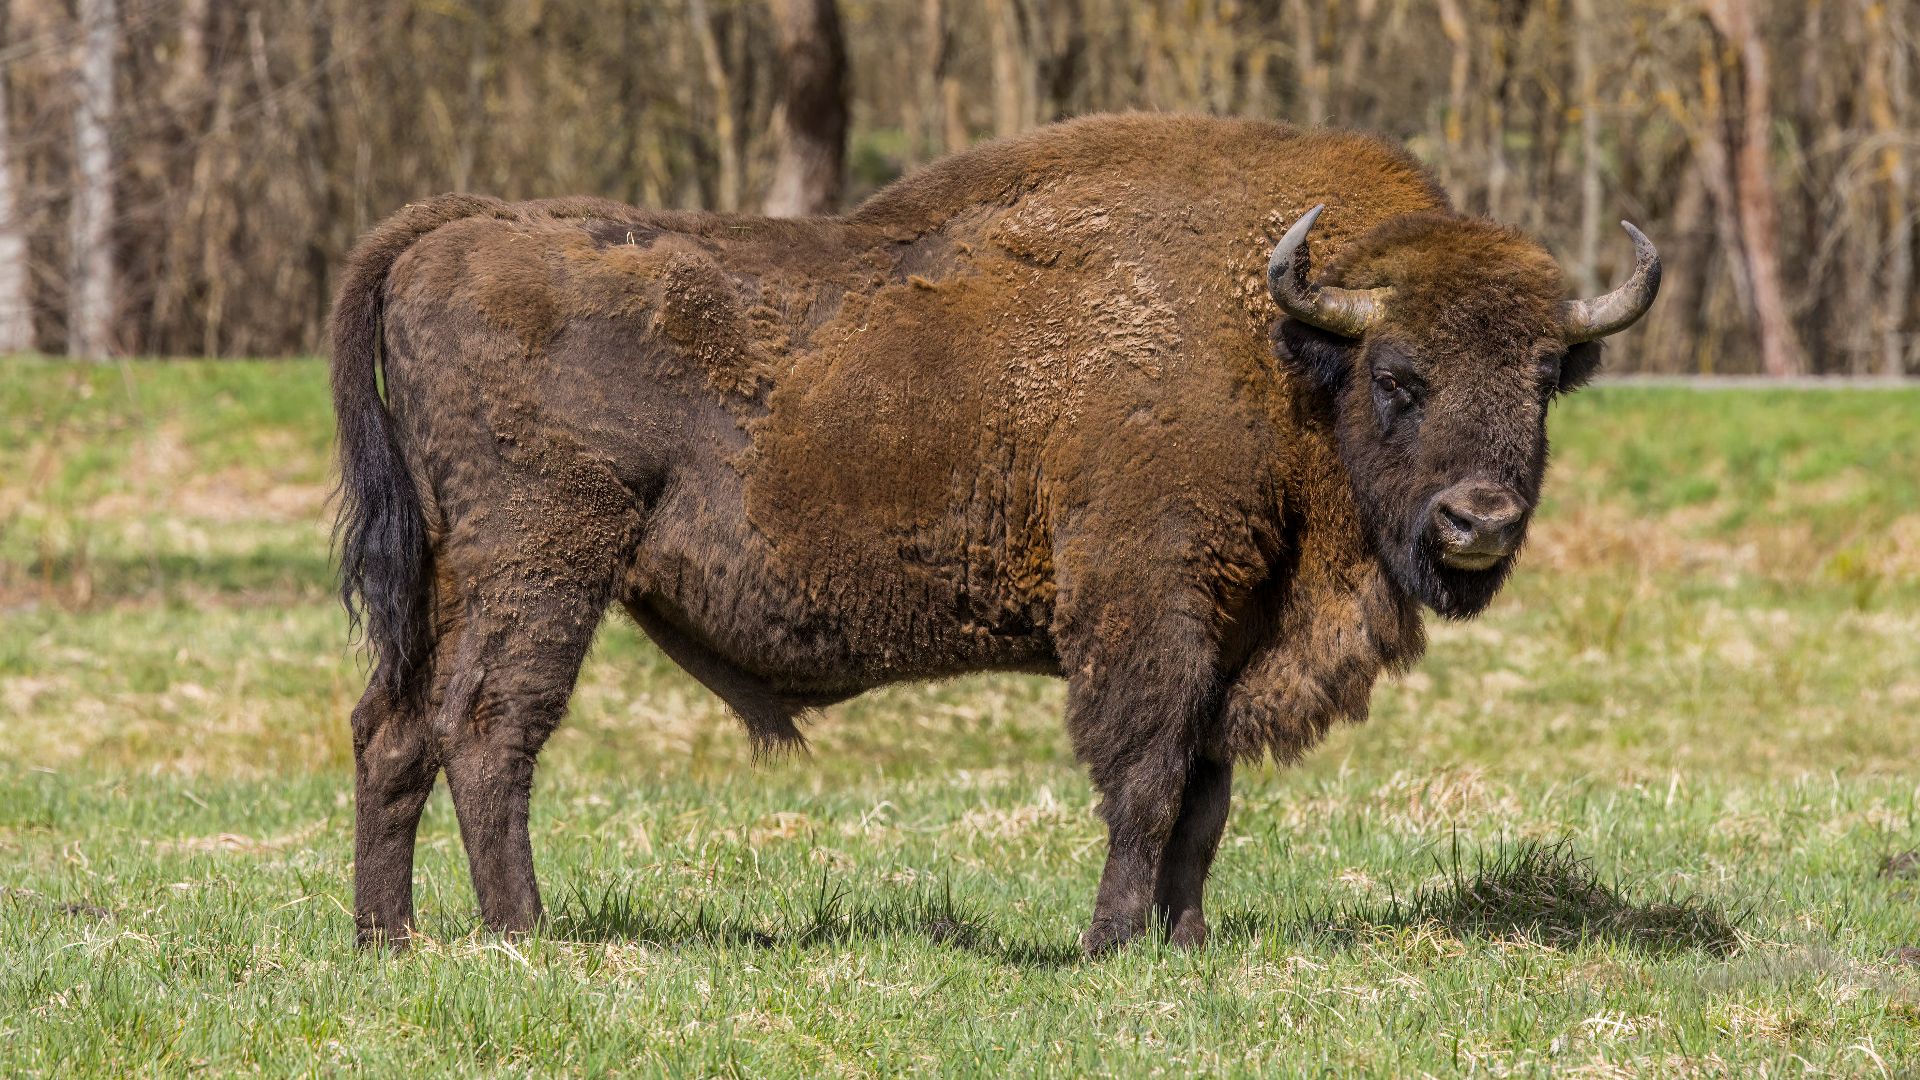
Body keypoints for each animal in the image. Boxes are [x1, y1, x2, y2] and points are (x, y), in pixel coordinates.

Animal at [331, 113, 1657, 954]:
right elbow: (1147, 779)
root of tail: (459, 230)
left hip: (448, 573)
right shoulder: (1150, 610)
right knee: (489, 729)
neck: (1280, 347)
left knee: (393, 728)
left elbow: (1207, 798)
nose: (1479, 520)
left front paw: (1186, 945)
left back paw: (389, 940)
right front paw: (1110, 946)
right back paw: (525, 933)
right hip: (543, 566)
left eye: (1547, 375)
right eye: (1398, 375)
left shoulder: (1232, 633)